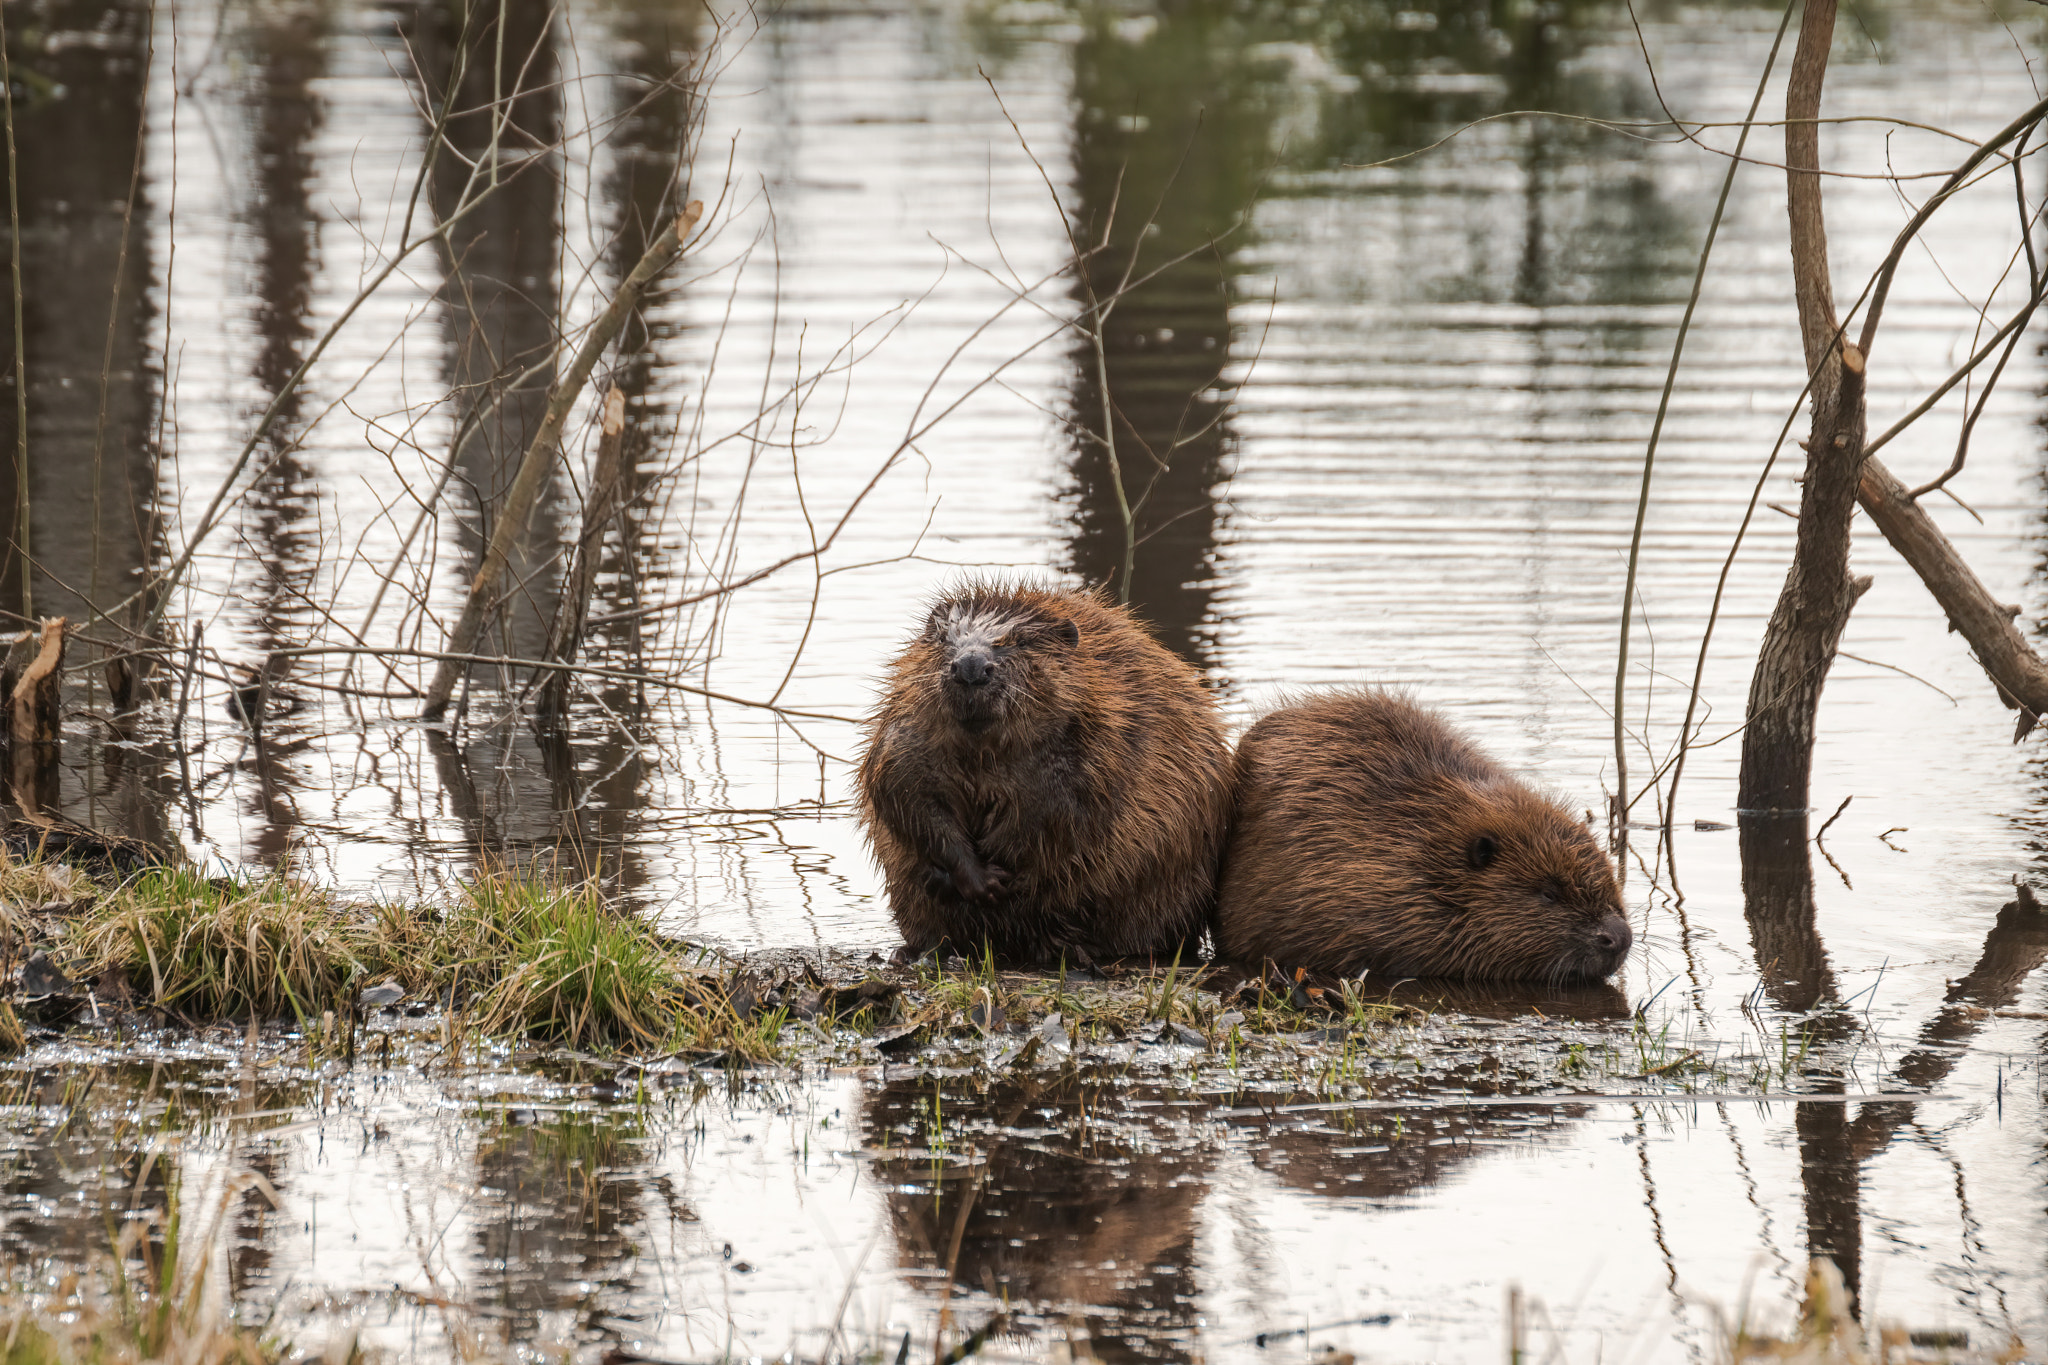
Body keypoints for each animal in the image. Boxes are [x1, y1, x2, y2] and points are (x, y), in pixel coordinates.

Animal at [851, 581, 1220, 965]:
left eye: (1020, 641)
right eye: (944, 639)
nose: (970, 667)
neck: (984, 752)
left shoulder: (1099, 742)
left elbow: (1062, 814)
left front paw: (1002, 876)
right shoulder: (905, 736)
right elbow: (906, 799)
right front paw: (969, 879)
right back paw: (915, 950)